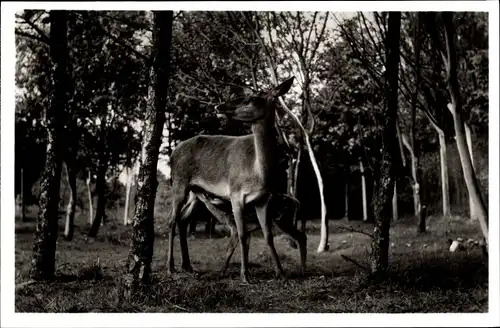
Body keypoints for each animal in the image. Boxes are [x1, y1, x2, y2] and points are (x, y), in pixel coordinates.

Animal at [167, 76, 300, 282]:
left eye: (251, 98)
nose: (220, 106)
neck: (258, 172)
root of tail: (173, 154)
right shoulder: (235, 194)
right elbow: (243, 234)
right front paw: (245, 275)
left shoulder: (263, 199)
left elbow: (268, 235)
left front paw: (281, 273)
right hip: (179, 183)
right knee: (172, 221)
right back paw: (171, 267)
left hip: (196, 192)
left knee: (183, 220)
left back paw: (188, 267)